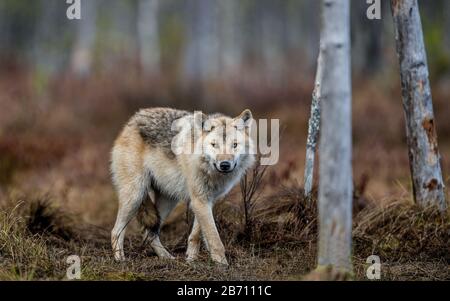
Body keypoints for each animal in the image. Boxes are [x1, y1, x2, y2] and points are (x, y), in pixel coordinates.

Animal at [110, 106, 255, 264]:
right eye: (214, 145)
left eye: (234, 145)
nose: (224, 165)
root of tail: (134, 118)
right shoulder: (199, 200)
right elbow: (214, 238)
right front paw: (221, 264)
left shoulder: (206, 201)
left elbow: (196, 235)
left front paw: (191, 258)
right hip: (135, 196)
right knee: (116, 231)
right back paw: (120, 259)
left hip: (167, 202)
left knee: (149, 233)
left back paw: (167, 257)